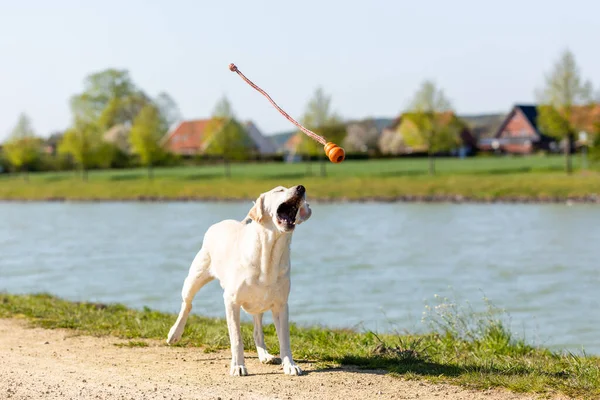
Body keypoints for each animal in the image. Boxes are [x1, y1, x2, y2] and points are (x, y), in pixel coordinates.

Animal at [166, 184, 312, 376]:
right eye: (279, 190)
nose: (301, 188)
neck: (268, 254)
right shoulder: (231, 301)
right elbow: (236, 338)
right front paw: (238, 366)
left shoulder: (281, 305)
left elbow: (284, 339)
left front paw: (290, 365)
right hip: (194, 278)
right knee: (187, 304)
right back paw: (174, 334)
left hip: (259, 303)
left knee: (257, 331)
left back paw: (265, 355)